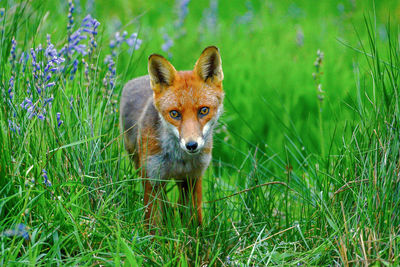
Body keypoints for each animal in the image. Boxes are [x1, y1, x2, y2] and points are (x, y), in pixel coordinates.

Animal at [119, 46, 225, 228]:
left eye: (203, 110)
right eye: (175, 114)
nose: (191, 145)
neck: (179, 159)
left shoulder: (194, 177)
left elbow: (194, 219)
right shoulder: (152, 178)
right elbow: (153, 224)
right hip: (140, 164)